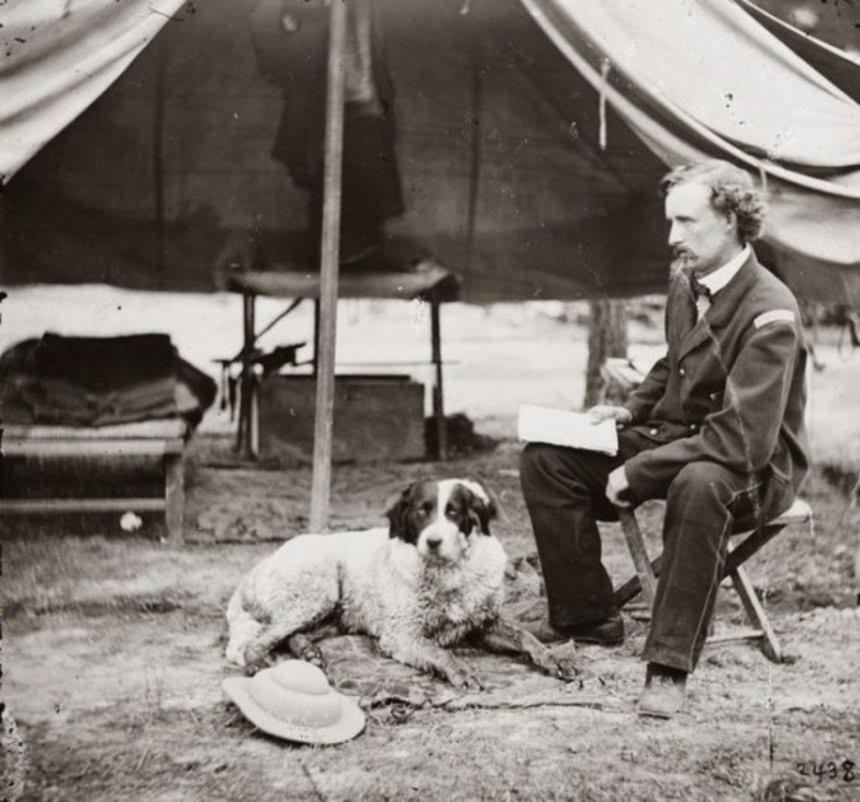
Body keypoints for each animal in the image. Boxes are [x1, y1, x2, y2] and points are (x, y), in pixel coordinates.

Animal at [225, 478, 576, 689]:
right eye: (421, 512)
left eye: (453, 512)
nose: (433, 542)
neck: (448, 574)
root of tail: (253, 572)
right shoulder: (402, 635)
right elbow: (438, 651)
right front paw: (462, 671)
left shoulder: (482, 624)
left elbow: (527, 637)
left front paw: (555, 659)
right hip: (318, 590)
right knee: (258, 640)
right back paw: (258, 664)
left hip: (335, 613)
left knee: (289, 635)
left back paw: (309, 652)